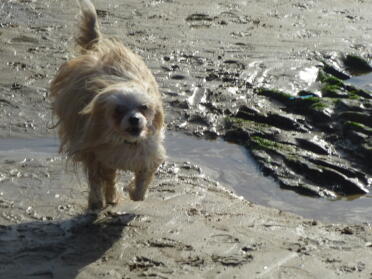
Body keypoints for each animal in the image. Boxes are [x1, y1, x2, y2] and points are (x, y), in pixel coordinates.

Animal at [49, 0, 166, 210]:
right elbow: (99, 179)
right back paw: (106, 198)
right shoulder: (94, 153)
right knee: (105, 178)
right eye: (119, 110)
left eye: (144, 107)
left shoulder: (148, 152)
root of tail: (96, 50)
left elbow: (143, 180)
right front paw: (99, 200)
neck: (126, 141)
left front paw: (135, 192)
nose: (134, 119)